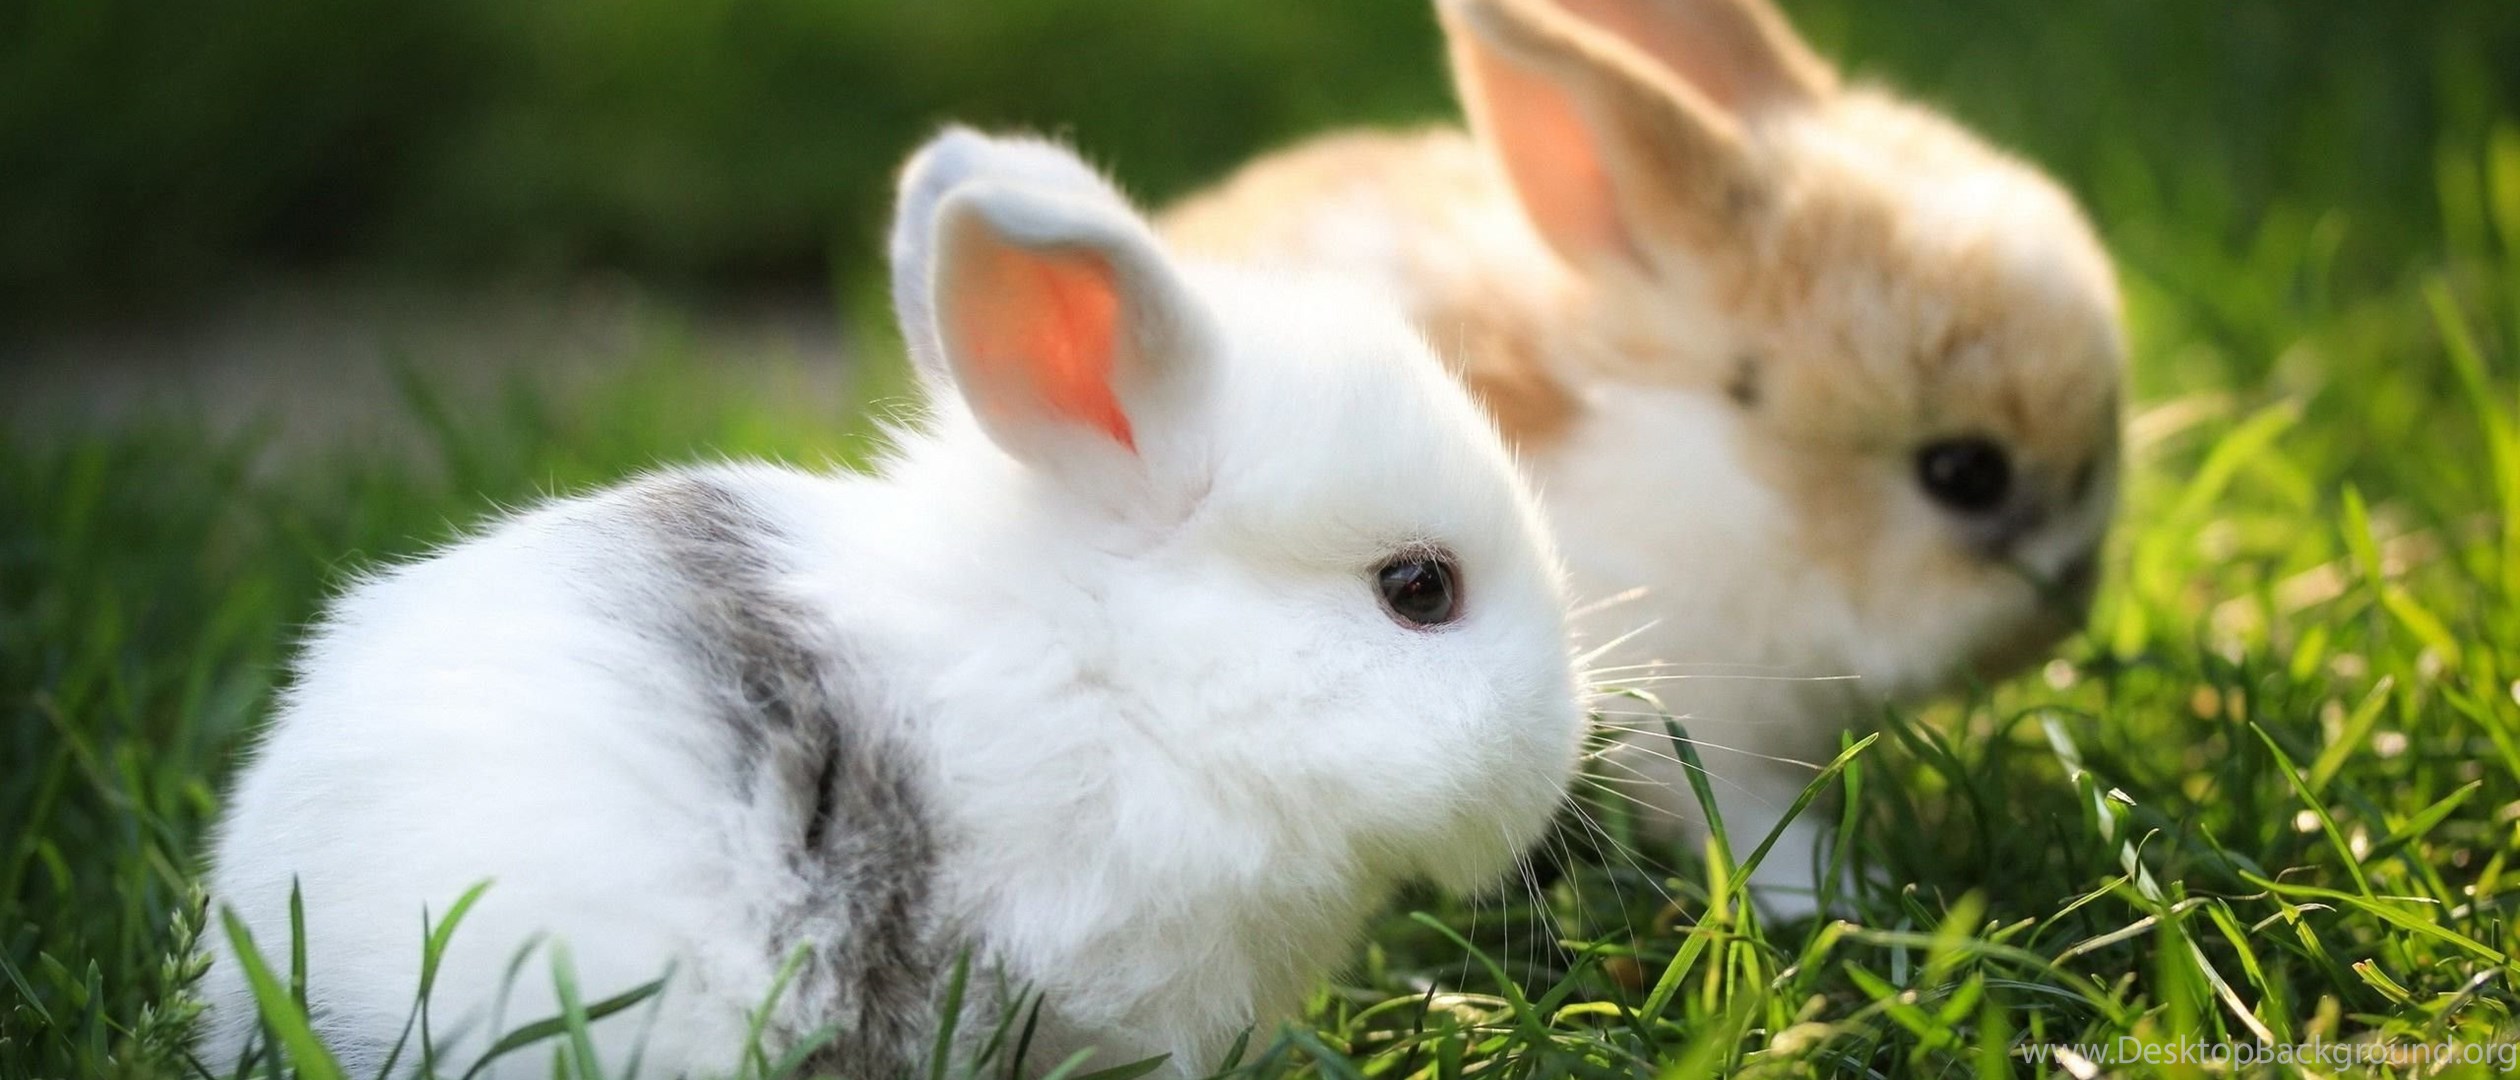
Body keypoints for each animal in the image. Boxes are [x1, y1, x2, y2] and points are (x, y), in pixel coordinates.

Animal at [1163, 0, 2123, 916]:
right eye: (1964, 472)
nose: (2071, 603)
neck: (1748, 492)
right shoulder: (1688, 719)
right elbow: (1741, 817)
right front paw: (1839, 891)